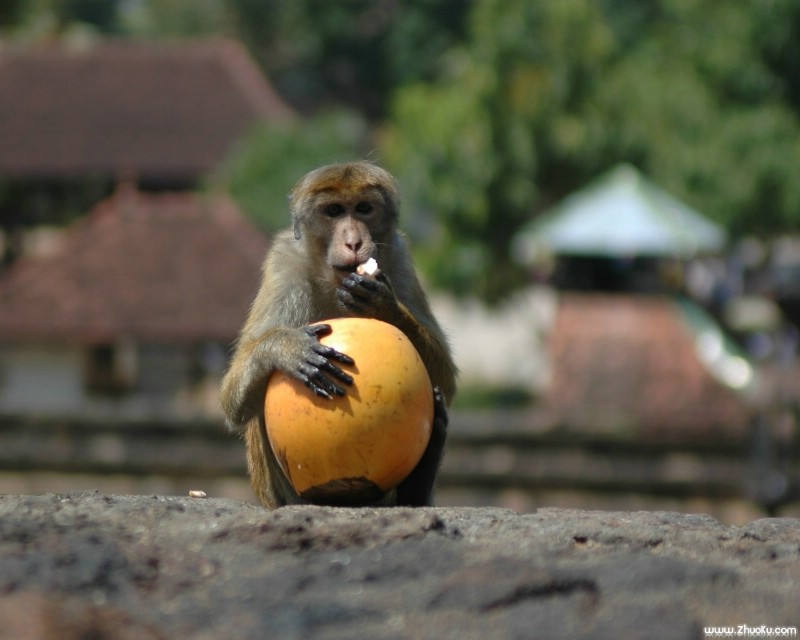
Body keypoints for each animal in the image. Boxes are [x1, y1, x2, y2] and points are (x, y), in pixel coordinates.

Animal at [220, 161, 456, 510]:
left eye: (364, 208)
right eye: (333, 211)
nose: (354, 243)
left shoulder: (400, 259)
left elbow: (446, 380)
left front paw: (383, 306)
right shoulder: (283, 266)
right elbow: (232, 399)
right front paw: (286, 348)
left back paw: (417, 483)